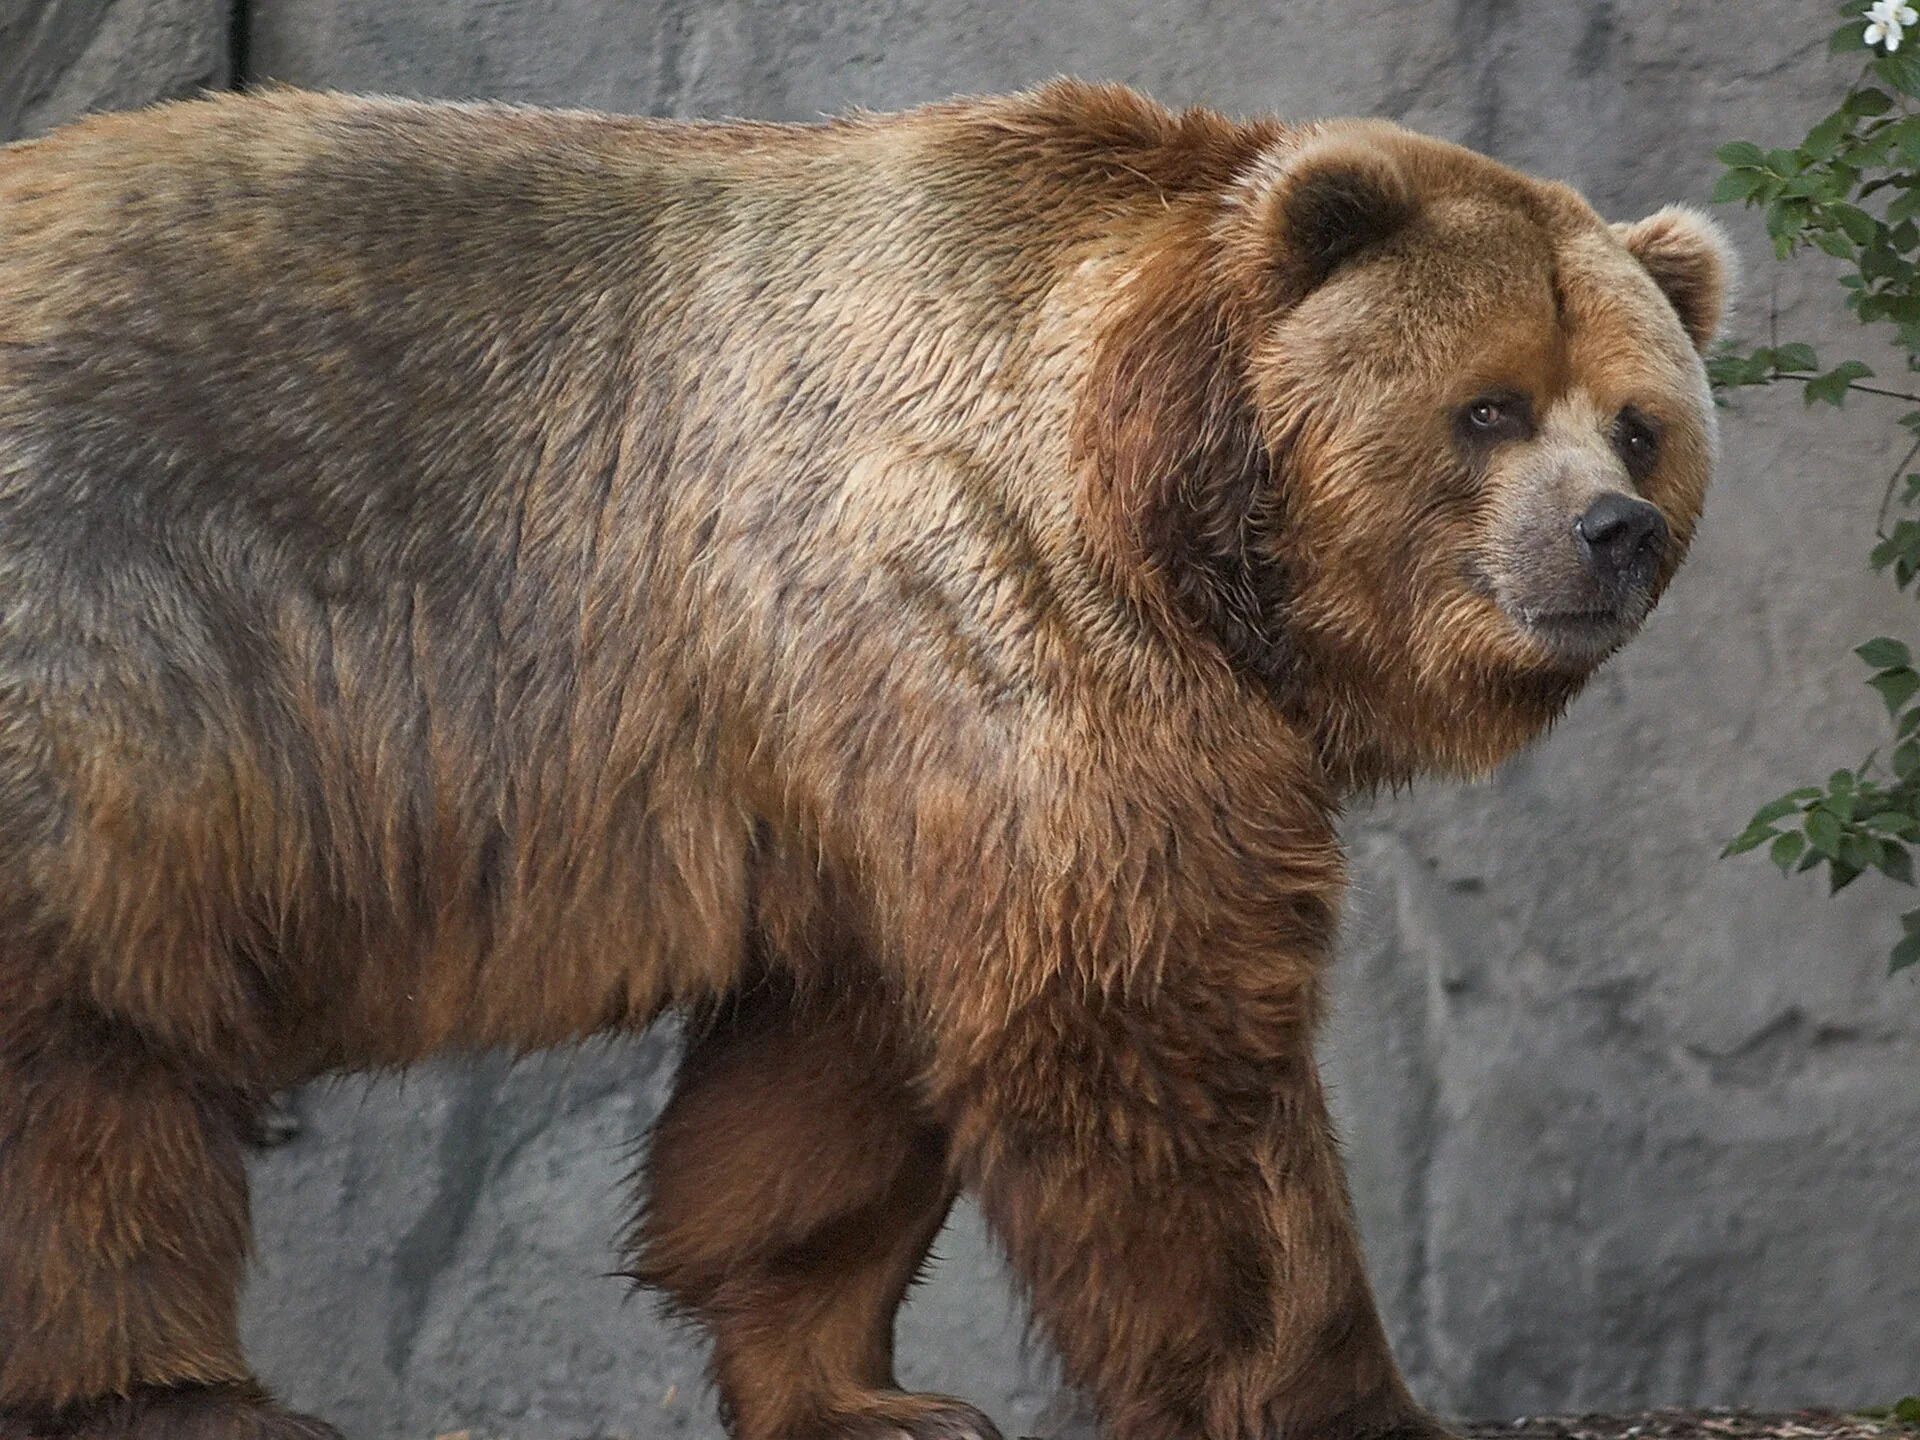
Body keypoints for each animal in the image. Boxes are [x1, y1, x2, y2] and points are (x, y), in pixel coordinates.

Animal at [0, 84, 1728, 1440]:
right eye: (1489, 407)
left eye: (1640, 424)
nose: (1612, 534)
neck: (1163, 501)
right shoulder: (975, 579)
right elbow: (1145, 1011)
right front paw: (1339, 1392)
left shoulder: (859, 745)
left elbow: (838, 1072)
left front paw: (868, 1395)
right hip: (112, 642)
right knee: (89, 1049)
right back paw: (170, 1394)